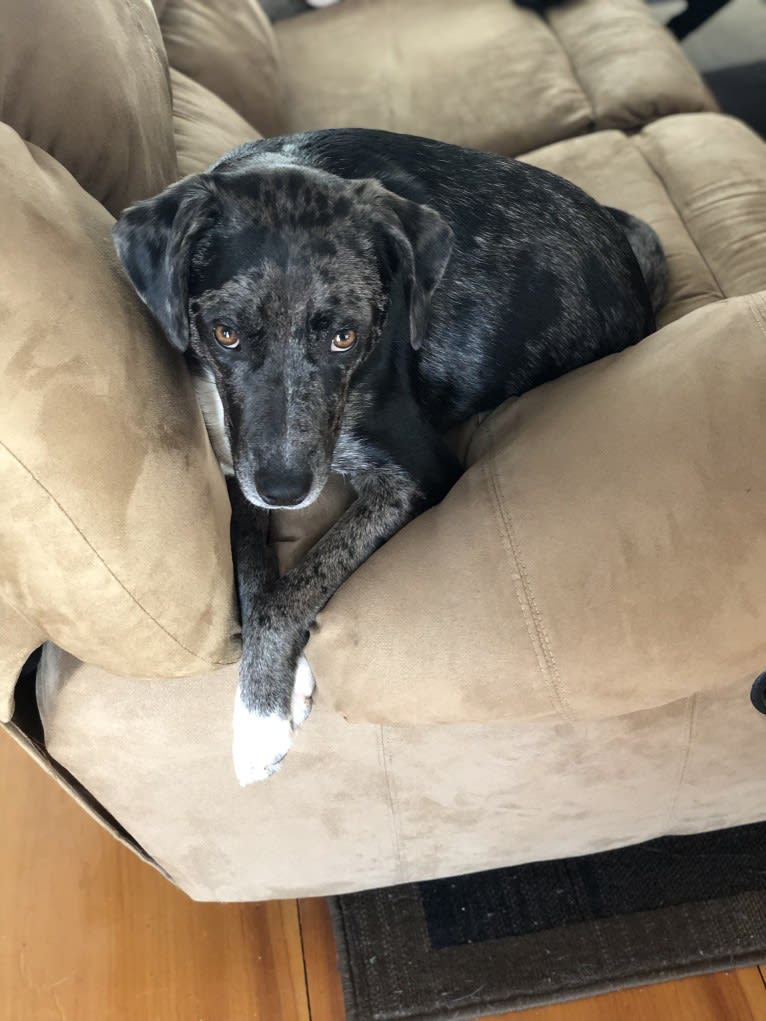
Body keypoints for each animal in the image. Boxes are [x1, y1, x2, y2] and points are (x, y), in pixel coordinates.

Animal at [112, 127, 665, 780]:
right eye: (225, 333)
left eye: (344, 337)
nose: (287, 493)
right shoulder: (239, 463)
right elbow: (250, 567)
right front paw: (282, 682)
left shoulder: (417, 473)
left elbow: (292, 587)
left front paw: (258, 721)